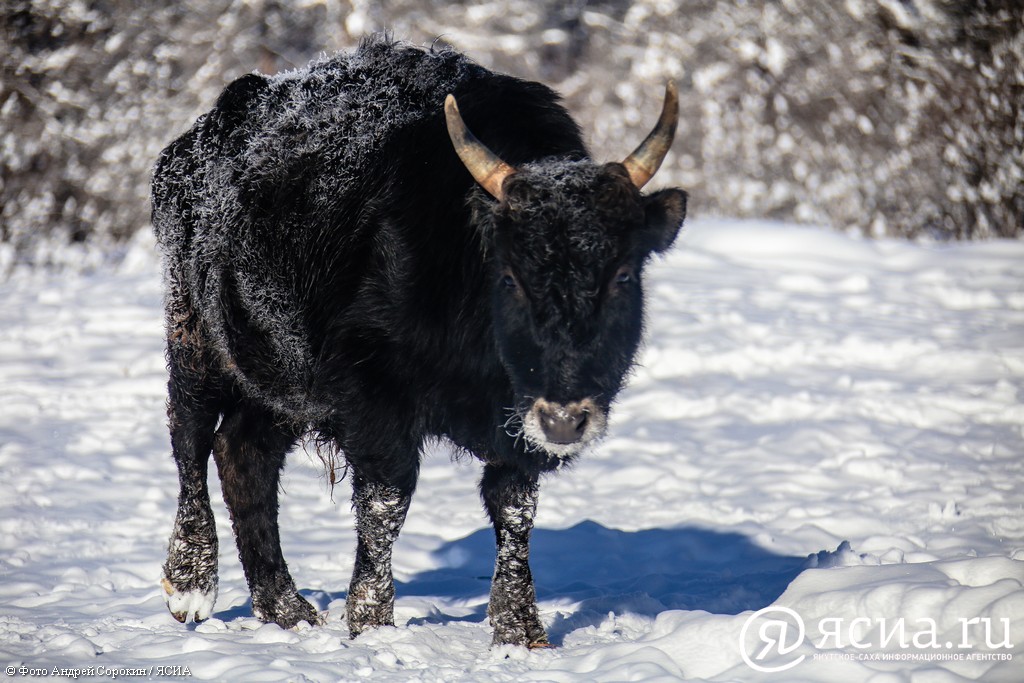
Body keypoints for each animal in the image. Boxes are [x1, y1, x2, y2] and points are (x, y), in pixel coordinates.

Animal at [151, 36, 688, 647]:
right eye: (509, 276)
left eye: (623, 275)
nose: (565, 419)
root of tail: (195, 142)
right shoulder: (376, 399)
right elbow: (386, 502)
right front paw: (371, 623)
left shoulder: (514, 426)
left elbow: (513, 507)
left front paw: (520, 632)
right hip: (193, 335)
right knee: (190, 438)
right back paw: (191, 582)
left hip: (281, 380)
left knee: (243, 454)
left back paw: (286, 608)